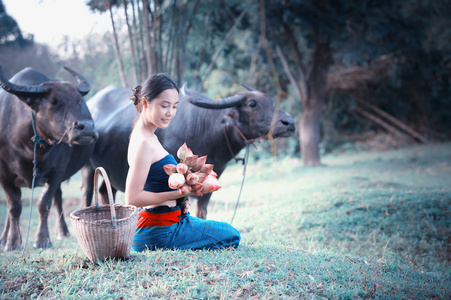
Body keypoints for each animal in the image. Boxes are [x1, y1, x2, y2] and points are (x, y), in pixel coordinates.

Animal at [0, 65, 98, 251]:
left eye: (79, 101)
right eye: (54, 102)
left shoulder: (57, 171)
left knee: (58, 198)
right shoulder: (3, 175)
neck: (28, 145)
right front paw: (12, 243)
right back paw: (4, 238)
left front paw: (42, 240)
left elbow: (44, 202)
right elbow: (14, 207)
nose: (87, 127)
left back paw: (62, 232)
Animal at [82, 84, 296, 218]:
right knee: (87, 191)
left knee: (104, 190)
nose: (290, 123)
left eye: (272, 102)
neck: (205, 130)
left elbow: (202, 211)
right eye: (252, 104)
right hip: (87, 166)